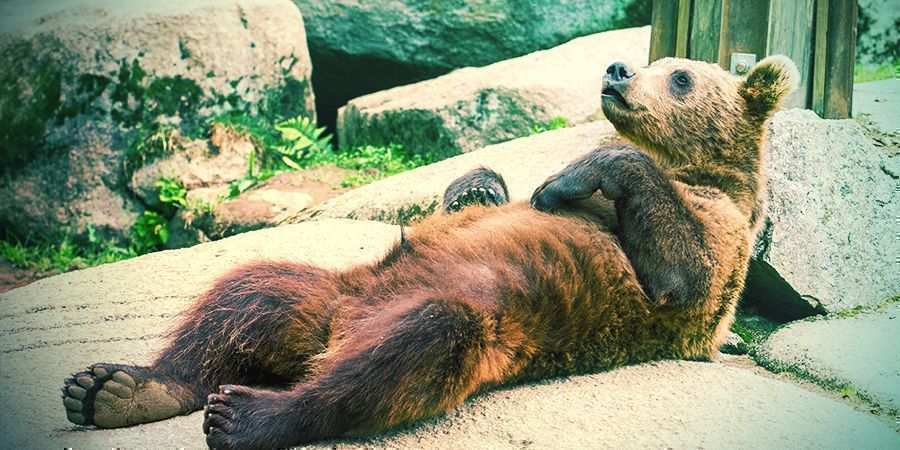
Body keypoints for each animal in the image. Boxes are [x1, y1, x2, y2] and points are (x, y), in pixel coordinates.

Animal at [61, 55, 796, 446]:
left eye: (680, 76)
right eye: (650, 64)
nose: (618, 69)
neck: (691, 166)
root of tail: (334, 334)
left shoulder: (719, 234)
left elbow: (684, 279)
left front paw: (568, 178)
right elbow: (474, 198)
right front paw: (489, 182)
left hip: (483, 319)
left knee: (418, 346)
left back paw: (248, 413)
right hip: (333, 291)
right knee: (247, 292)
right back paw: (117, 388)